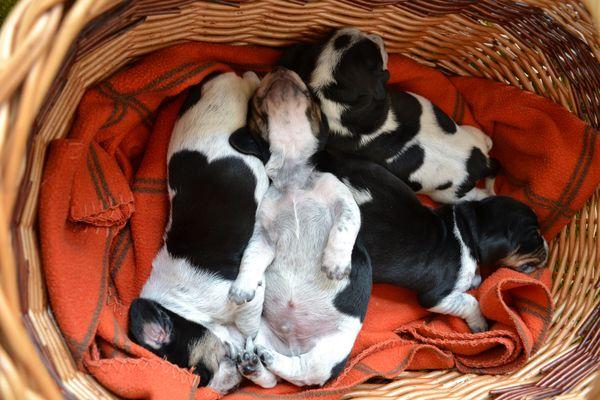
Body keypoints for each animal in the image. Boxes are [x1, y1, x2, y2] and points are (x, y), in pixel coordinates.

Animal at [128, 71, 267, 394]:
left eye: (199, 374)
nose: (223, 387)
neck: (179, 306)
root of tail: (218, 78)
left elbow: (249, 323)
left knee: (250, 82)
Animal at [228, 67, 372, 387]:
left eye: (310, 92)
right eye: (257, 101)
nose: (280, 69)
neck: (293, 176)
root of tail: (292, 345)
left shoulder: (344, 202)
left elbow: (345, 226)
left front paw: (335, 265)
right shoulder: (264, 235)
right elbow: (251, 258)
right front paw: (242, 287)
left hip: (330, 352)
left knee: (302, 372)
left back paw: (267, 360)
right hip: (260, 331)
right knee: (272, 376)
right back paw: (254, 363)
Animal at [279, 27, 498, 204]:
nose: (377, 37)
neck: (338, 96)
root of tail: (483, 163)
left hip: (448, 195)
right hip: (471, 135)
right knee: (488, 142)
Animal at [314, 149, 548, 332]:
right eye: (535, 236)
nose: (546, 245)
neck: (467, 229)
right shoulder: (436, 297)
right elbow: (471, 301)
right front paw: (480, 323)